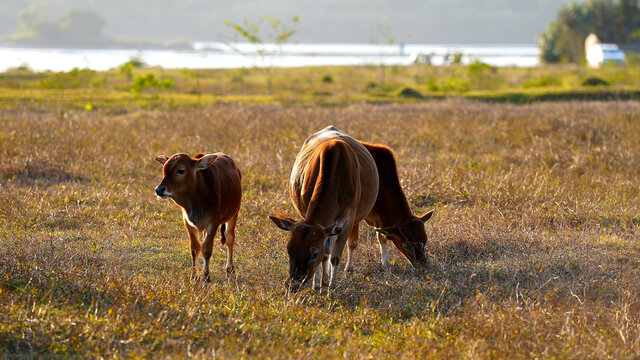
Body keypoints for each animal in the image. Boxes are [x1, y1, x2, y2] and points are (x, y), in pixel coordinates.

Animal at [155, 152, 242, 282]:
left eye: (180, 170)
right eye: (164, 169)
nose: (159, 189)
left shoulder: (213, 223)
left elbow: (206, 250)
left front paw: (206, 277)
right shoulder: (188, 222)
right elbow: (195, 249)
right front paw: (194, 276)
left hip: (234, 214)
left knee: (230, 239)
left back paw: (230, 270)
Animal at [268, 125, 378, 292]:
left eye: (314, 254)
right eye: (289, 249)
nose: (293, 284)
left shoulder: (347, 220)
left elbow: (335, 256)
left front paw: (331, 287)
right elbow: (325, 255)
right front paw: (318, 284)